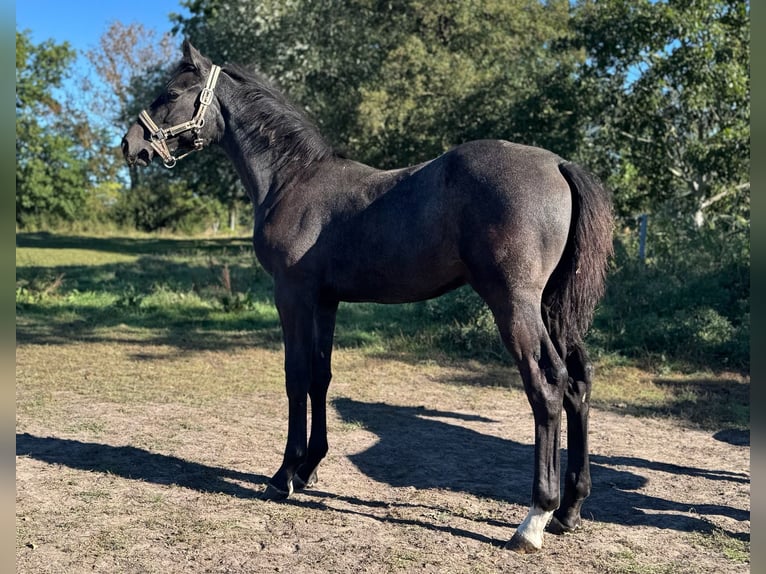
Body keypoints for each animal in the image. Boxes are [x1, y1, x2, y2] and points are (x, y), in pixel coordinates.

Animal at [122, 40, 613, 553]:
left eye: (171, 93)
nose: (130, 144)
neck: (291, 179)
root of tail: (557, 165)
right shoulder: (326, 301)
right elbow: (320, 377)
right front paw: (309, 469)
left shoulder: (292, 295)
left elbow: (296, 376)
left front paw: (283, 475)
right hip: (552, 308)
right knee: (578, 383)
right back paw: (569, 511)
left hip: (514, 305)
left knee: (548, 386)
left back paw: (534, 519)